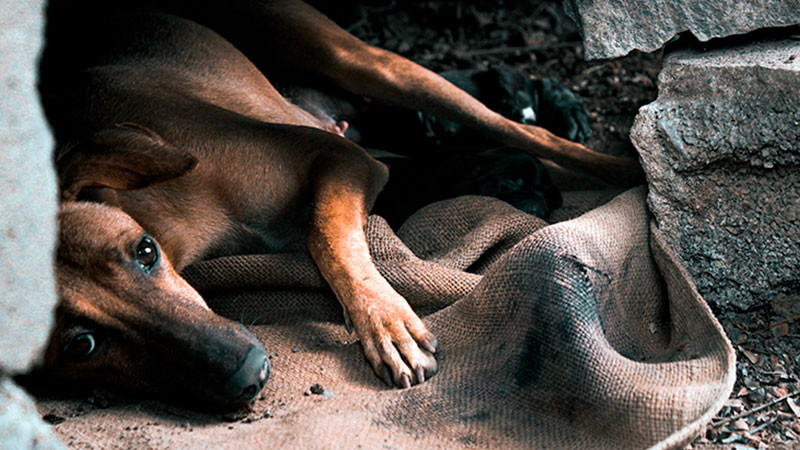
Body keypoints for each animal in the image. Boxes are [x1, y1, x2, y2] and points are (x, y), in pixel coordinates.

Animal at [34, 0, 640, 408]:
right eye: (81, 345)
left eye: (145, 252)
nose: (249, 373)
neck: (172, 220)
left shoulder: (340, 158)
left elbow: (325, 233)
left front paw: (384, 320)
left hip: (364, 62)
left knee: (528, 134)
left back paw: (625, 168)